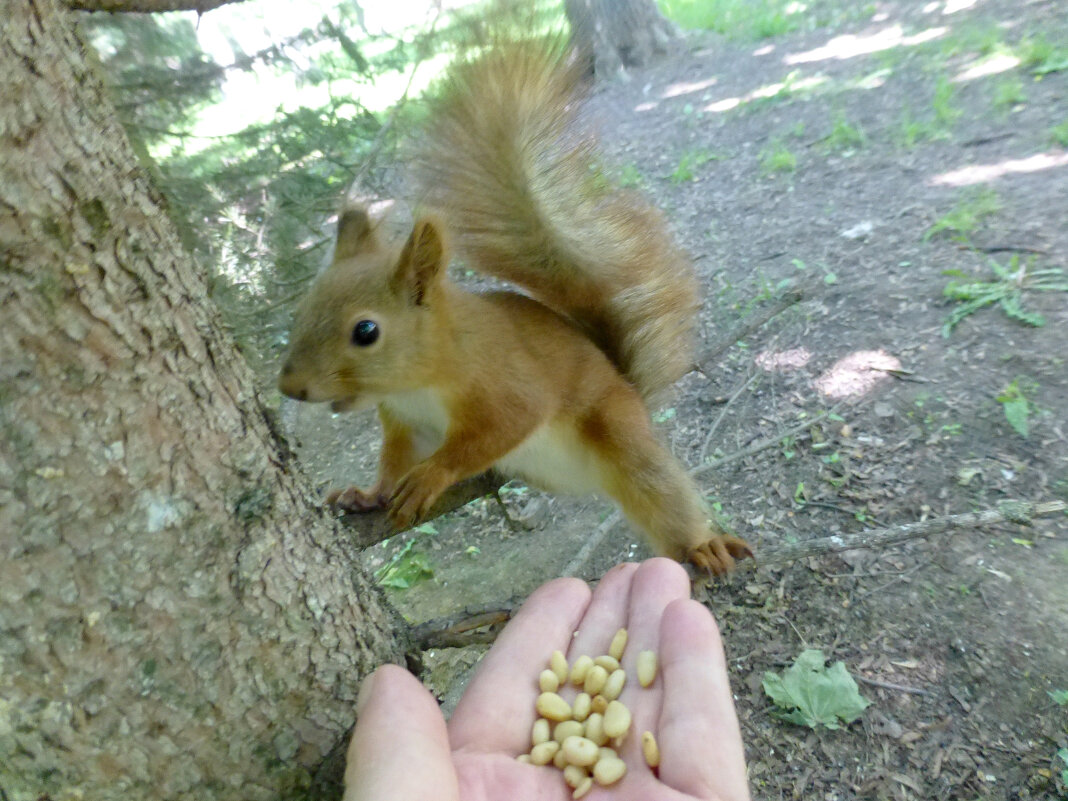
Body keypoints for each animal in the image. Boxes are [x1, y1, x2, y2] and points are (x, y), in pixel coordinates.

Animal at [279, 37, 756, 576]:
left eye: (366, 331)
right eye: (301, 310)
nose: (289, 387)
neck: (420, 381)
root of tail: (627, 383)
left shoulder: (504, 382)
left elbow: (501, 427)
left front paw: (432, 475)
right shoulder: (407, 422)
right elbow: (394, 463)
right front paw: (366, 495)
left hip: (618, 429)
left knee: (659, 490)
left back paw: (702, 545)